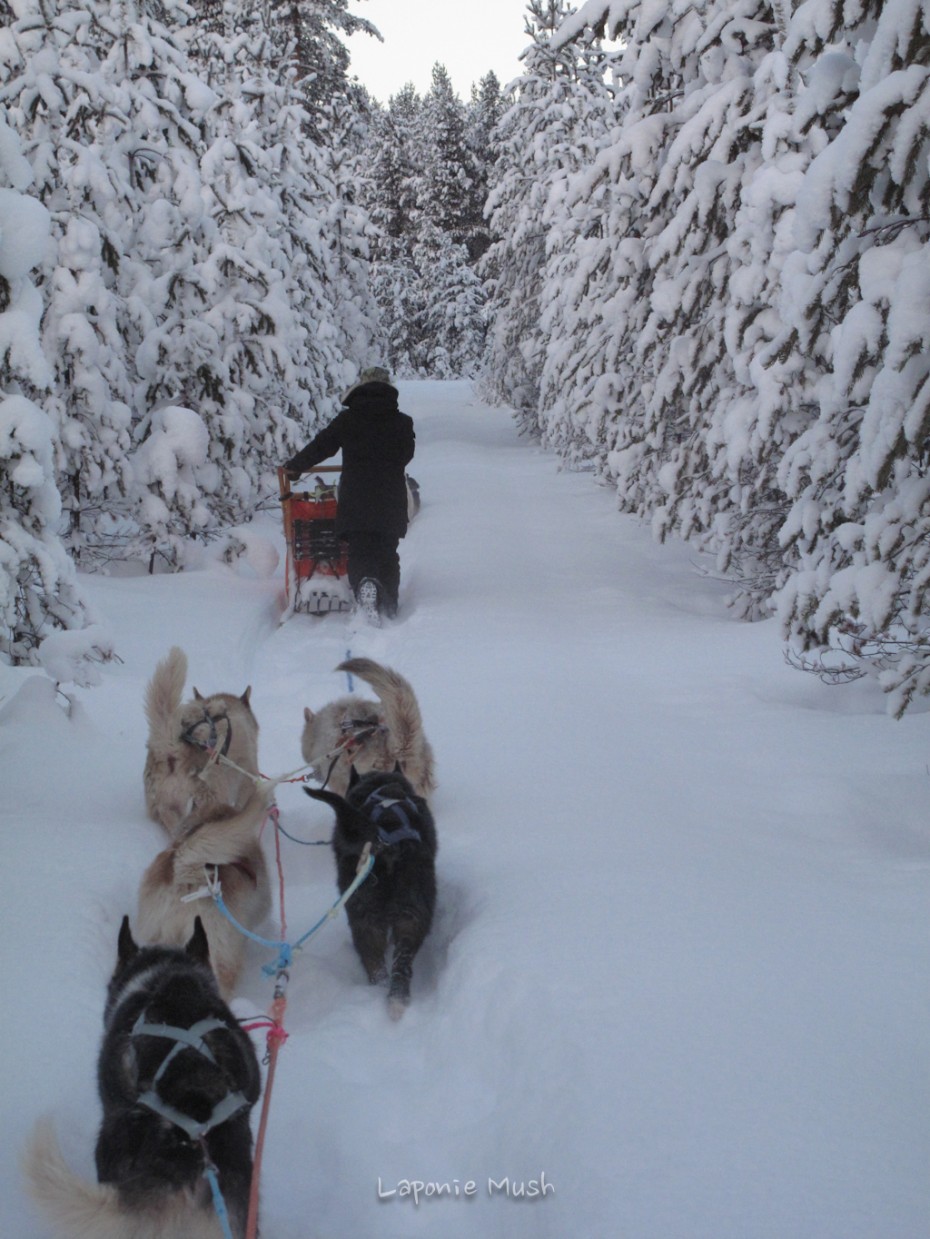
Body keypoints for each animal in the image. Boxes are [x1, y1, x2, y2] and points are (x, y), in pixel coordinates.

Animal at [305, 763, 435, 1015]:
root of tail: (385, 845)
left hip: (366, 914)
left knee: (374, 961)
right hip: (408, 912)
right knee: (398, 963)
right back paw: (395, 996)